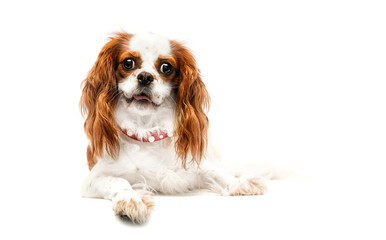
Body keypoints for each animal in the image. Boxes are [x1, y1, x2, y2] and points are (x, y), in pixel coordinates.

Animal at [80, 31, 266, 223]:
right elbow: (119, 182)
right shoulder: (93, 179)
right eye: (128, 63)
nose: (145, 76)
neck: (147, 131)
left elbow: (215, 172)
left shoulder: (195, 164)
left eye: (166, 67)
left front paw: (240, 183)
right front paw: (131, 200)